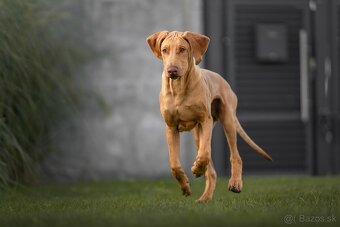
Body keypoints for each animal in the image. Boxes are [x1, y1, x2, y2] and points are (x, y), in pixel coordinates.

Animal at [145, 30, 270, 202]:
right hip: (198, 134)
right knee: (211, 171)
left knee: (234, 155)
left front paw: (197, 169)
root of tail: (223, 80)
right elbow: (175, 165)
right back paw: (205, 197)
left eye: (182, 49)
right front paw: (185, 186)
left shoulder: (205, 120)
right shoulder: (171, 127)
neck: (179, 88)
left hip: (227, 120)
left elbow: (205, 154)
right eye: (164, 50)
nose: (172, 70)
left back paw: (235, 183)